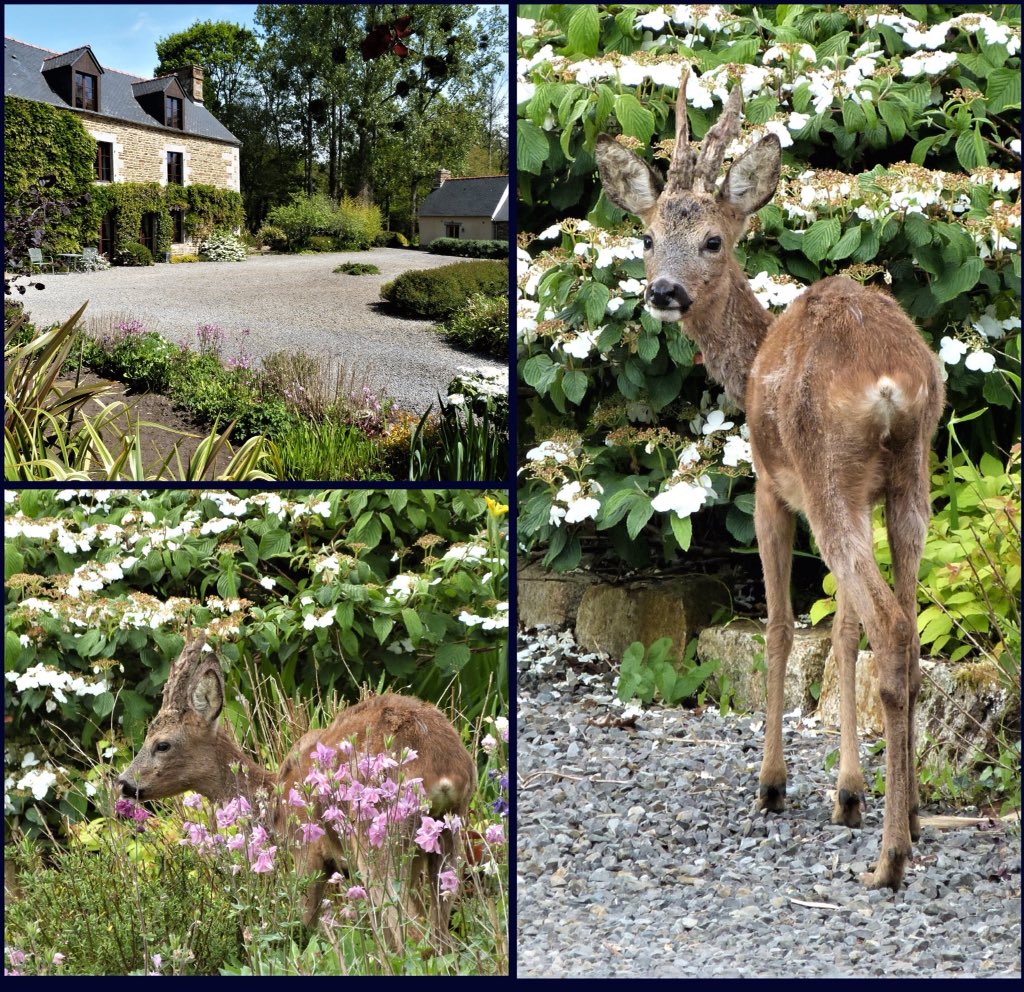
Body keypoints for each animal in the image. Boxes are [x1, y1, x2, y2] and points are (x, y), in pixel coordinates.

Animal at [117, 633, 478, 946]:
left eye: (162, 744)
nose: (124, 783)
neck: (275, 799)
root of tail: (446, 770)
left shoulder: (307, 850)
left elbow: (300, 926)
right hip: (448, 834)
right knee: (439, 933)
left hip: (378, 833)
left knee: (414, 931)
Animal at [594, 71, 945, 890]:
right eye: (648, 235)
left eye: (713, 239)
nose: (664, 291)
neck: (748, 362)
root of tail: (890, 384)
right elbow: (839, 629)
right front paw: (848, 793)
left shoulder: (769, 489)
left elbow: (784, 628)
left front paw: (775, 784)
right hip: (909, 480)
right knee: (905, 630)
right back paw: (908, 818)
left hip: (826, 474)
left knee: (887, 628)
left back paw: (889, 860)